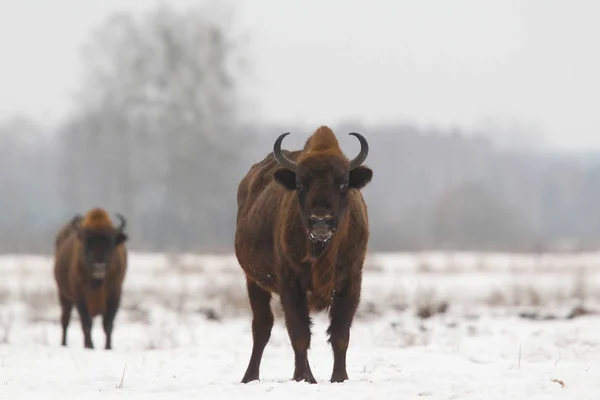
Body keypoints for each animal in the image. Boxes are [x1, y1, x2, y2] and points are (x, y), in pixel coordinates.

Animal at [54, 208, 129, 348]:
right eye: (87, 244)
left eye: (111, 243)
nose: (99, 267)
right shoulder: (80, 297)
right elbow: (87, 324)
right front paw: (90, 346)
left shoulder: (115, 294)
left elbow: (108, 324)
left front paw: (108, 348)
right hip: (63, 296)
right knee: (65, 320)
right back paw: (64, 344)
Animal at [233, 126, 370, 384]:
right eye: (300, 185)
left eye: (343, 184)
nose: (320, 221)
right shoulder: (291, 284)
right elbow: (299, 334)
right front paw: (303, 379)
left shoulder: (351, 282)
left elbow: (340, 334)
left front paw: (339, 378)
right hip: (253, 281)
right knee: (262, 327)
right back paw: (250, 377)